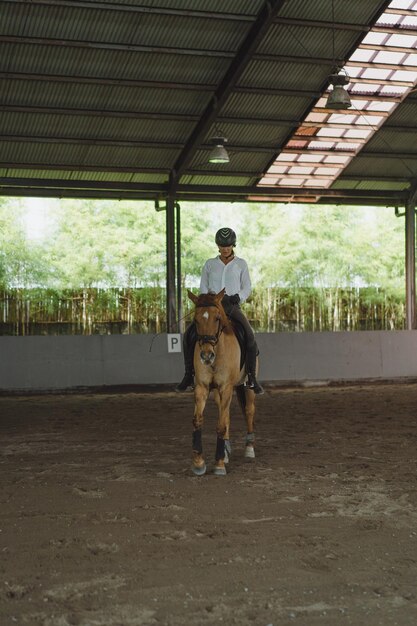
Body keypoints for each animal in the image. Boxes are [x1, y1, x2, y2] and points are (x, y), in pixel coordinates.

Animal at [186, 288, 256, 472]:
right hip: (218, 392)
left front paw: (218, 464)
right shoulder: (202, 387)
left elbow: (221, 424)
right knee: (226, 414)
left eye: (217, 318)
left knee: (249, 411)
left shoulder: (226, 387)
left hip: (247, 387)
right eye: (195, 320)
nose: (206, 356)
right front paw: (199, 462)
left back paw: (249, 448)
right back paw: (225, 451)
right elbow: (198, 420)